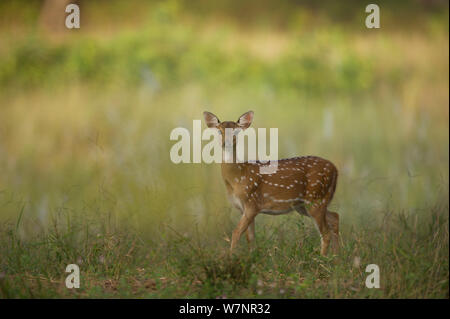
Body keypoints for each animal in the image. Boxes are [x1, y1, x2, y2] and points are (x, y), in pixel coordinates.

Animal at [202, 111, 340, 256]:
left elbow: (236, 233)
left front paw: (230, 257)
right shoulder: (242, 208)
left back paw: (323, 258)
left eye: (236, 131)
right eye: (219, 131)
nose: (226, 143)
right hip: (305, 205)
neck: (237, 177)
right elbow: (250, 237)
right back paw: (337, 257)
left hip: (316, 198)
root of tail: (335, 170)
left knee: (326, 232)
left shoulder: (252, 203)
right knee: (335, 217)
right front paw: (251, 257)